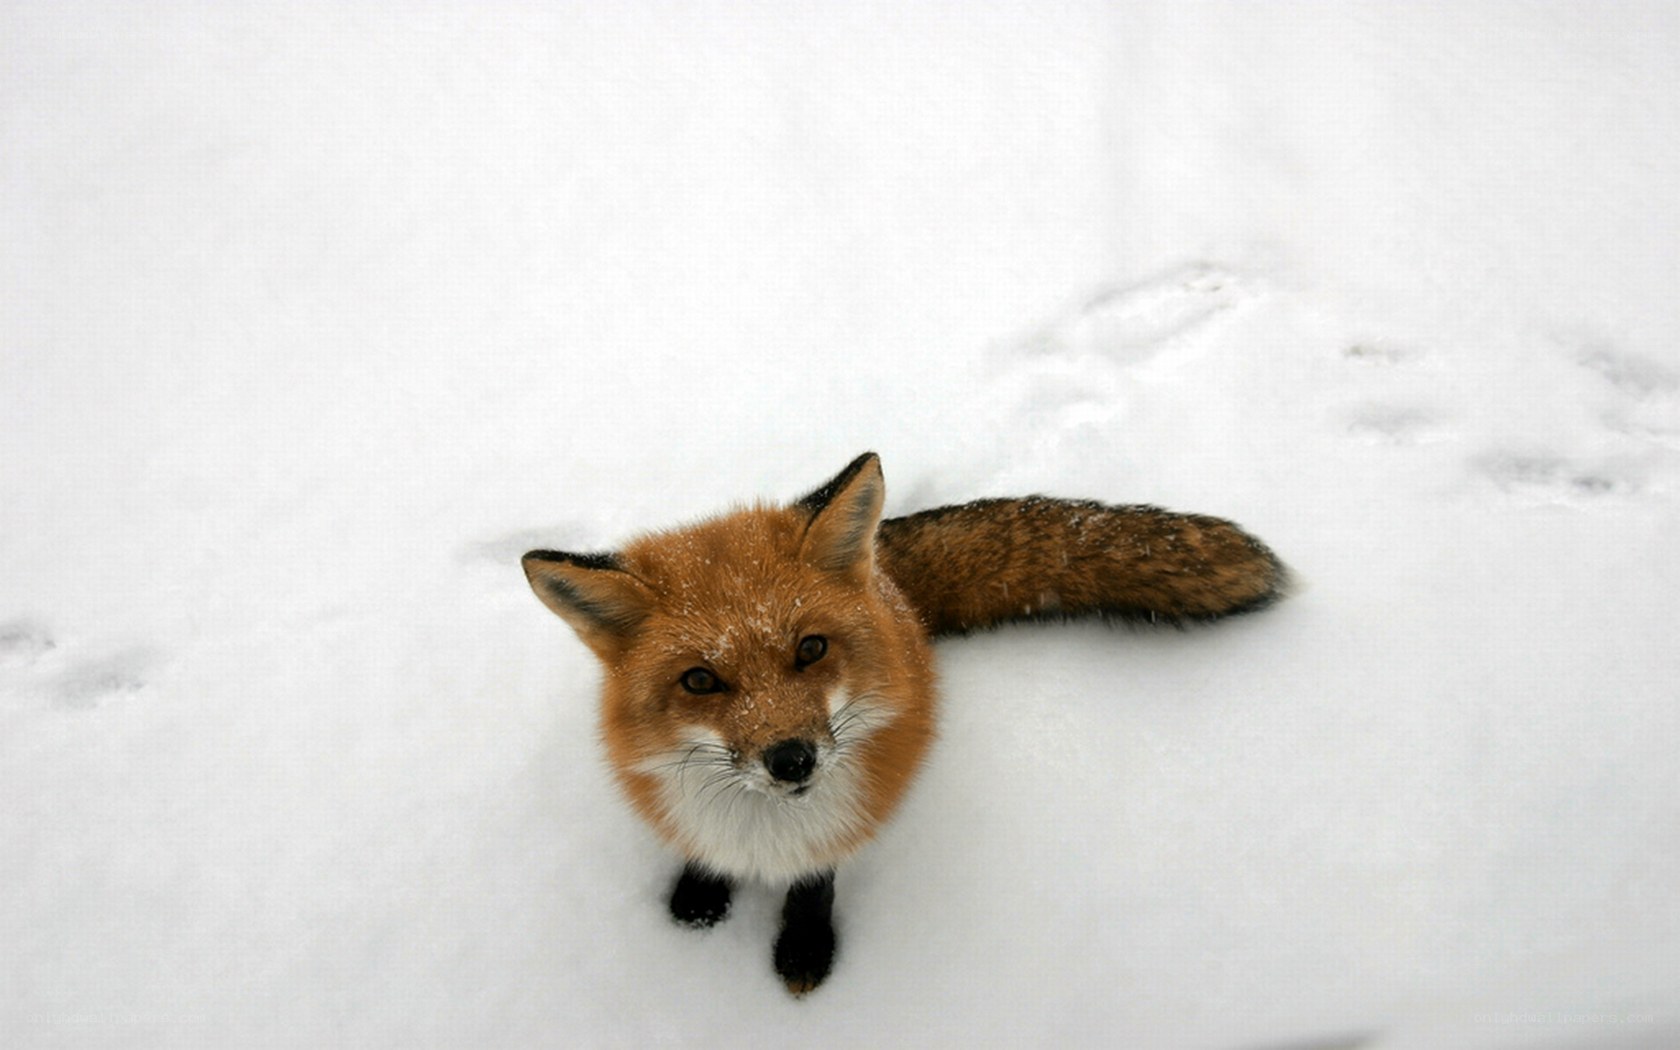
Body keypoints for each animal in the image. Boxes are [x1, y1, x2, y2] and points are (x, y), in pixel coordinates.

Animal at [521, 452, 1285, 995]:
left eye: (811, 649)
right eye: (700, 681)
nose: (792, 760)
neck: (766, 835)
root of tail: (888, 579)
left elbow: (816, 883)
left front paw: (805, 947)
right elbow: (701, 854)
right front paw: (700, 897)